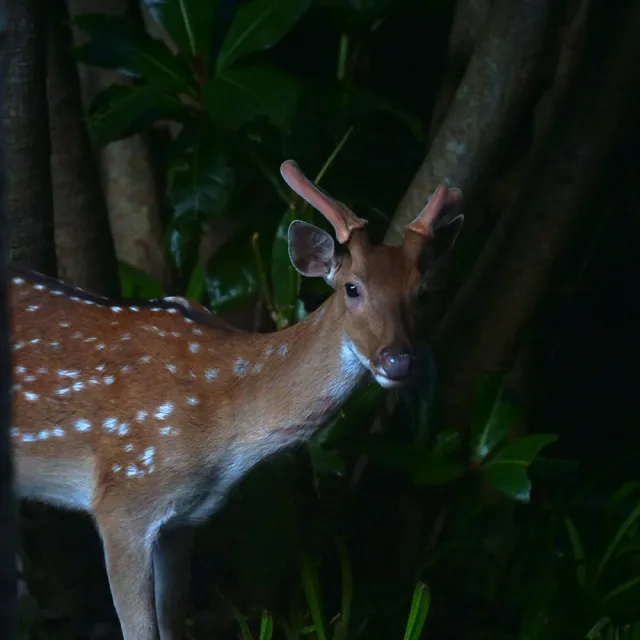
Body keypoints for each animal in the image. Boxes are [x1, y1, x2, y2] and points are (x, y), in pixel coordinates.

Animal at [7, 160, 462, 640]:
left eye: (423, 293)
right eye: (352, 288)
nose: (398, 360)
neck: (222, 437)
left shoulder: (183, 519)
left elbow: (172, 623)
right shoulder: (123, 499)